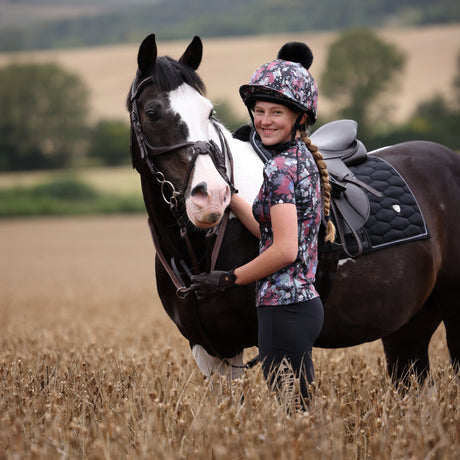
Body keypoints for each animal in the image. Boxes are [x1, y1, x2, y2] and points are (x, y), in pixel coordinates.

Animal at [126, 34, 460, 382]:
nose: (213, 196)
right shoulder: (212, 353)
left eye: (208, 112)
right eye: (152, 112)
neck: (196, 250)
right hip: (408, 327)